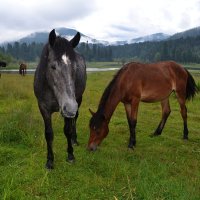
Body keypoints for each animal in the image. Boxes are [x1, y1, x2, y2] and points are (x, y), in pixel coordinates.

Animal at [33, 28, 86, 169]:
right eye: (53, 66)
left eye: (75, 67)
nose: (70, 108)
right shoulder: (43, 107)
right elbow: (48, 134)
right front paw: (50, 161)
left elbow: (67, 130)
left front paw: (71, 155)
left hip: (78, 99)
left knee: (75, 119)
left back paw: (74, 139)